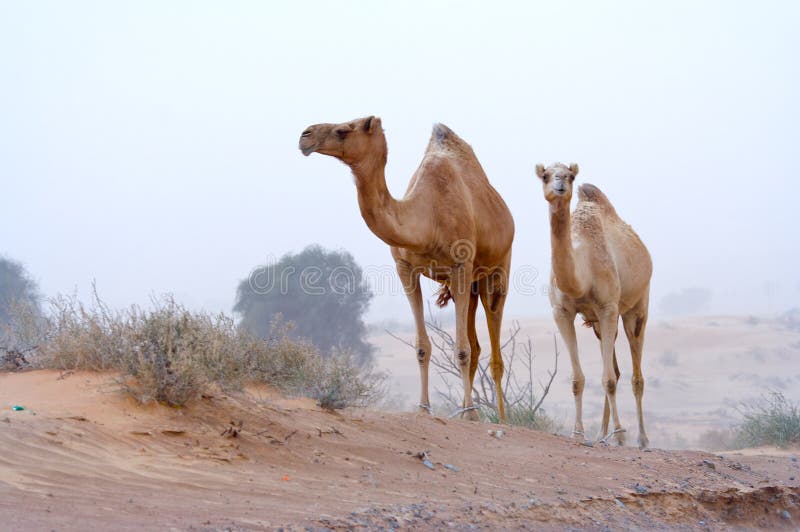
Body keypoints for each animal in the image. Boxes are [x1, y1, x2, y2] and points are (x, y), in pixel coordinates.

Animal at [298, 116, 512, 420]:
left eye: (343, 130)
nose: (305, 136)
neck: (427, 218)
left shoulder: (461, 264)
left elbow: (461, 350)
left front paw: (472, 414)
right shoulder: (405, 269)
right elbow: (423, 346)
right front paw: (424, 409)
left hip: (496, 272)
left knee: (494, 350)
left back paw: (502, 418)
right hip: (469, 285)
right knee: (476, 343)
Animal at [536, 163, 648, 448]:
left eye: (570, 175)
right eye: (545, 175)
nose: (560, 184)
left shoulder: (608, 307)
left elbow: (608, 380)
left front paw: (620, 435)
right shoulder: (562, 312)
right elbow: (578, 379)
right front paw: (578, 433)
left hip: (637, 308)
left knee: (635, 375)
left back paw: (641, 439)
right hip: (599, 323)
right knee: (616, 369)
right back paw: (601, 435)